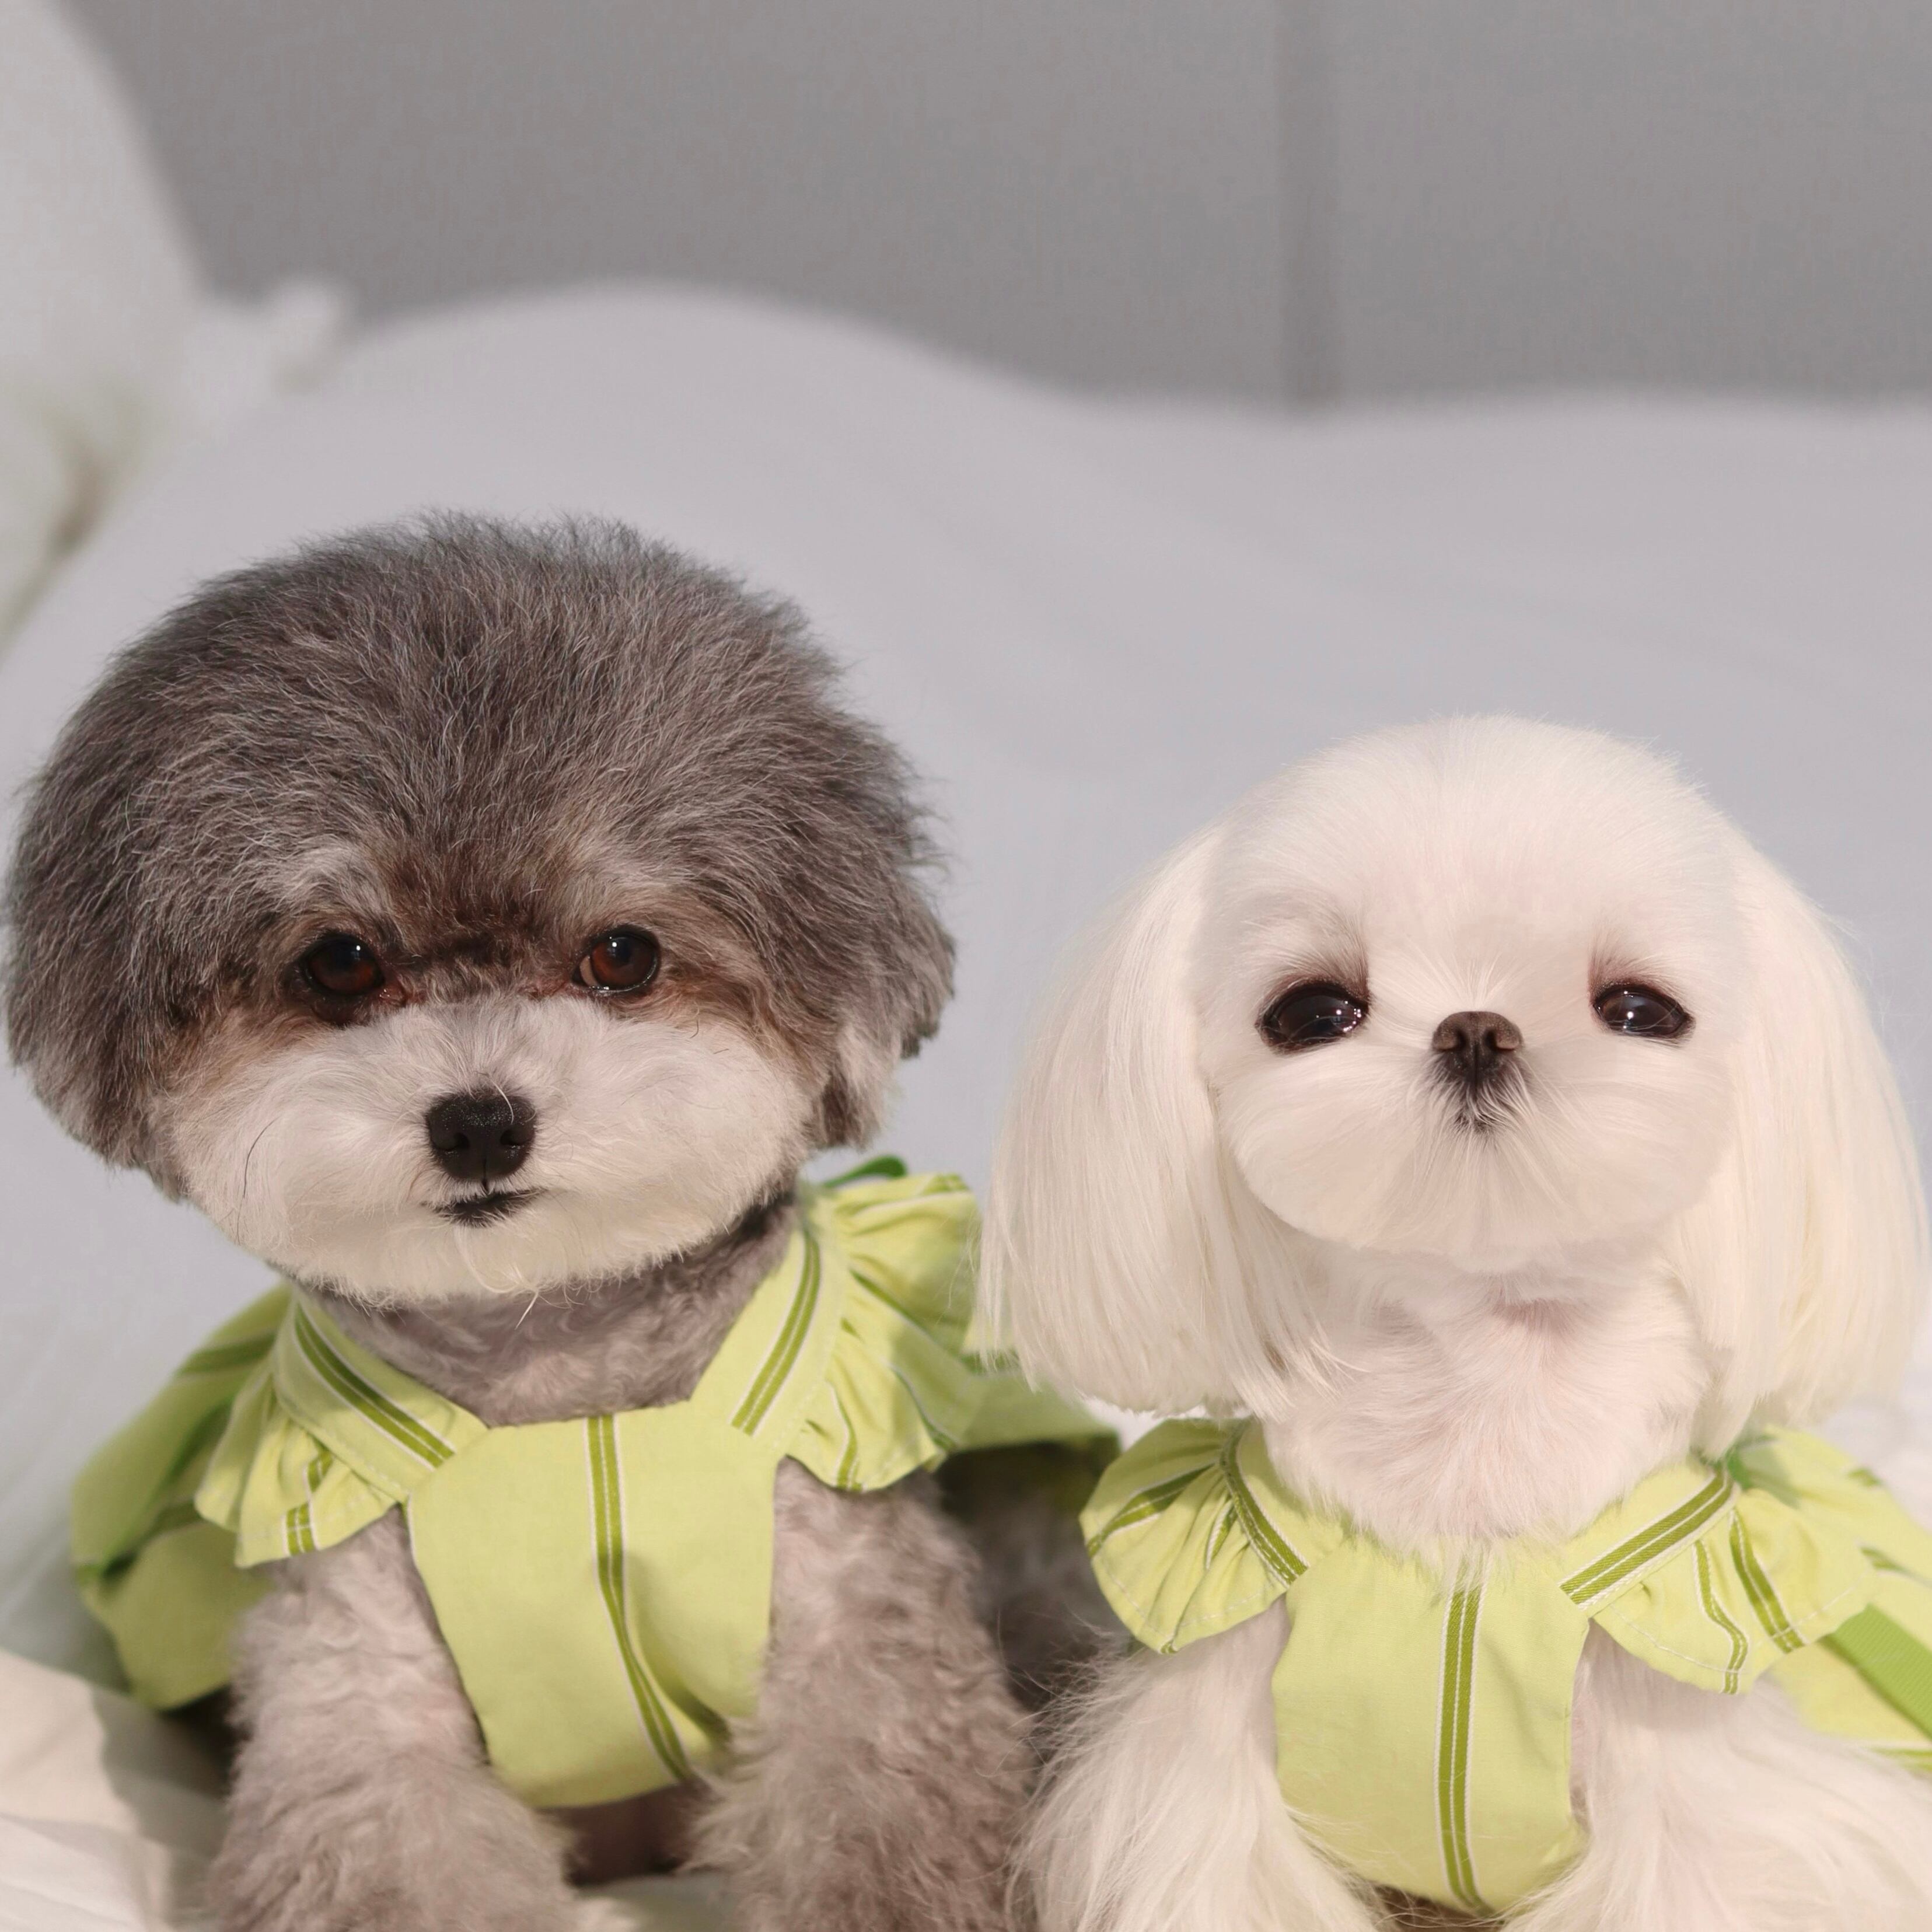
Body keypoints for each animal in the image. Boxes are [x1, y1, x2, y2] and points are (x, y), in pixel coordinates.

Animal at [7, 516, 1104, 1932]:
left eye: (621, 954)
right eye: (342, 961)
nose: (480, 1123)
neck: (559, 1400)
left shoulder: (860, 1642)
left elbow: (877, 1815)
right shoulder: (353, 1701)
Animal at [985, 717, 1932, 1932]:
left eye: (1640, 1009)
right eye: (1312, 1011)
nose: (1477, 1028)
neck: (1476, 1423)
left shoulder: (1713, 1809)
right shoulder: (1209, 1791)